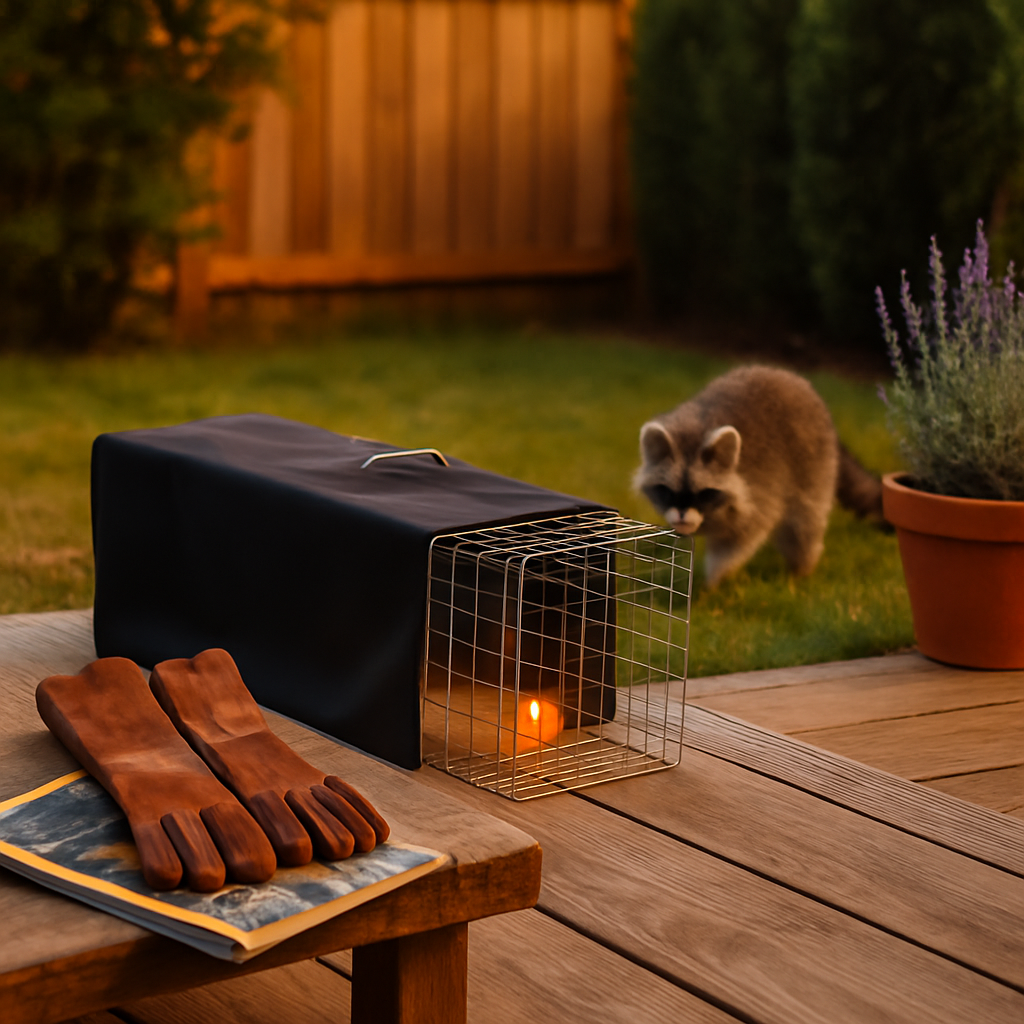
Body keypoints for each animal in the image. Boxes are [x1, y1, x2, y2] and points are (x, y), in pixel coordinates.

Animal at [635, 365, 885, 587]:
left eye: (704, 493)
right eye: (668, 491)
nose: (682, 515)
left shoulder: (760, 491)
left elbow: (740, 540)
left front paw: (713, 580)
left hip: (813, 467)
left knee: (803, 526)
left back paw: (802, 569)